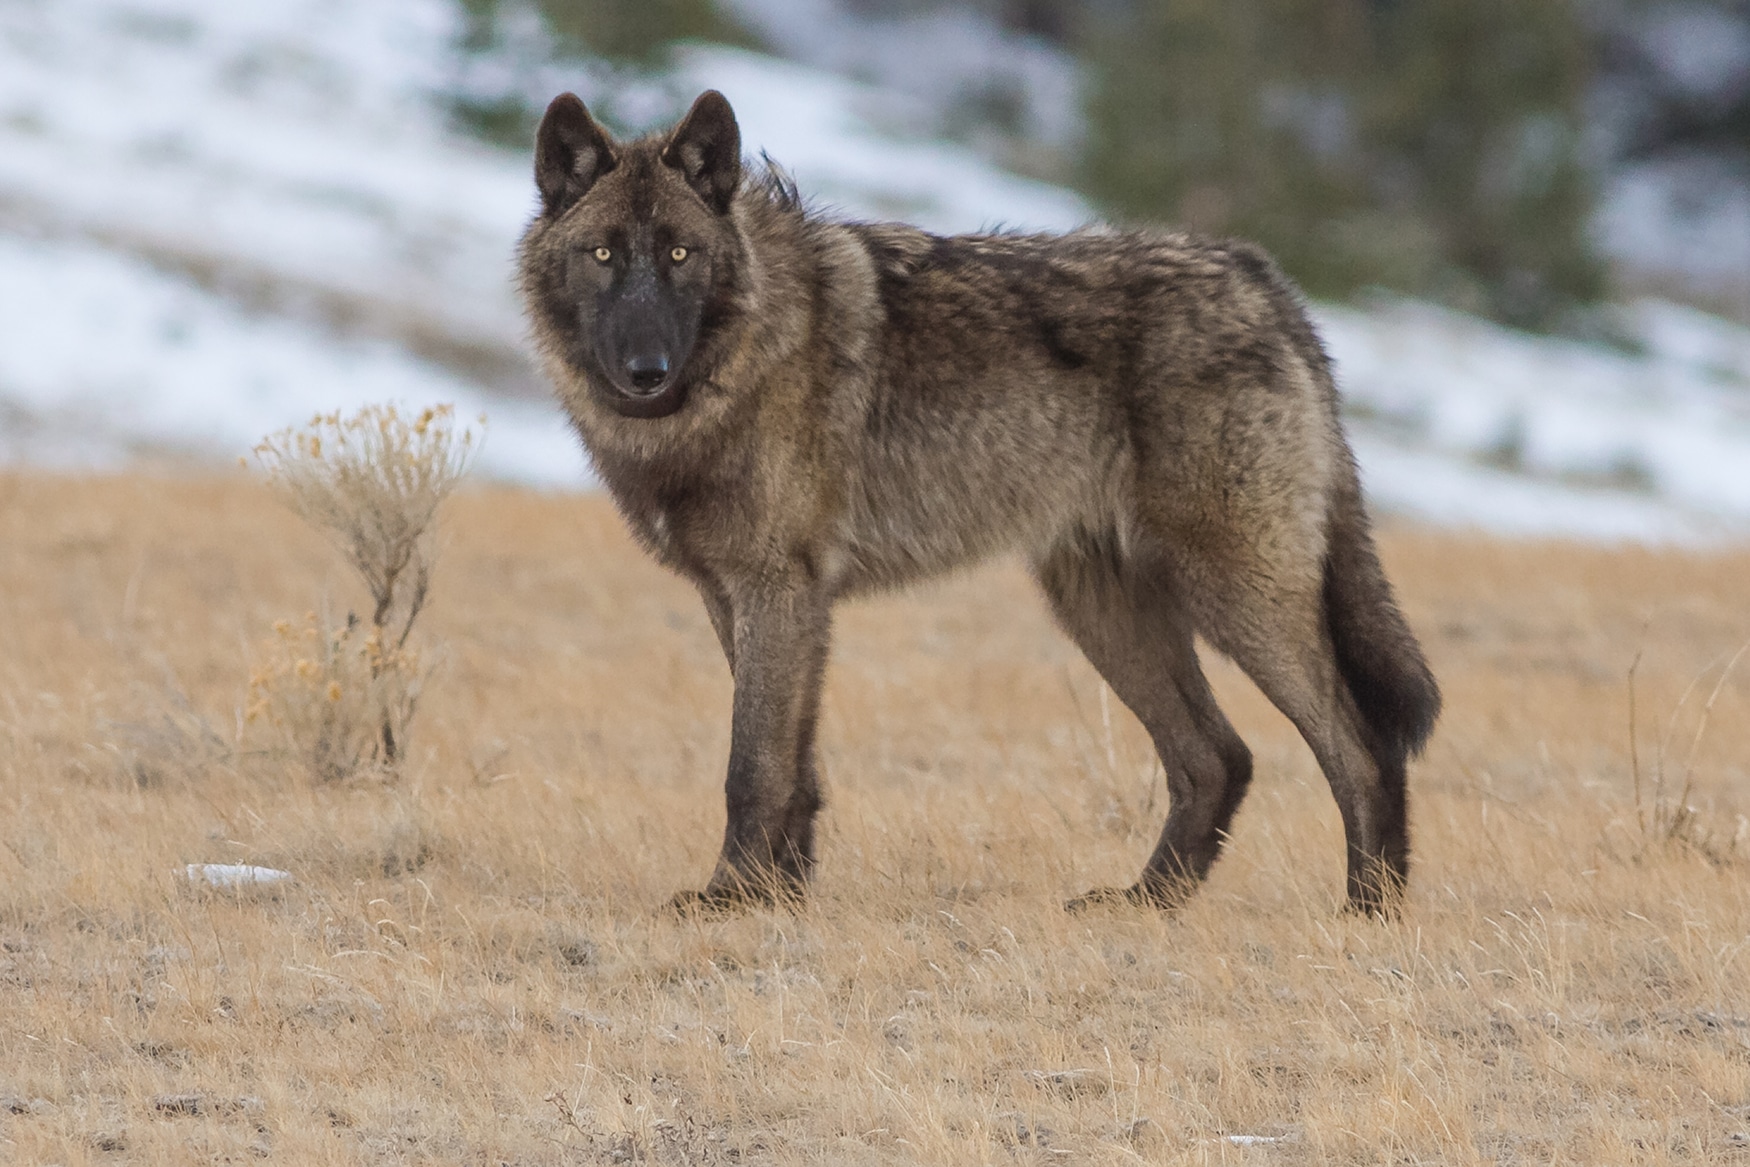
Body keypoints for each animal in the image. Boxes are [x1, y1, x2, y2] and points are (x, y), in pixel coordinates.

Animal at [511, 89, 1442, 909]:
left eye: (679, 255)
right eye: (603, 256)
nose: (646, 371)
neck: (743, 354)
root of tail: (1263, 279)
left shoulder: (778, 590)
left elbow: (753, 767)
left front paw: (729, 897)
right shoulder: (745, 597)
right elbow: (795, 767)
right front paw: (781, 898)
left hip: (1234, 596)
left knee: (1359, 749)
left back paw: (1367, 912)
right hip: (1102, 609)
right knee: (1220, 756)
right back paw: (1146, 901)